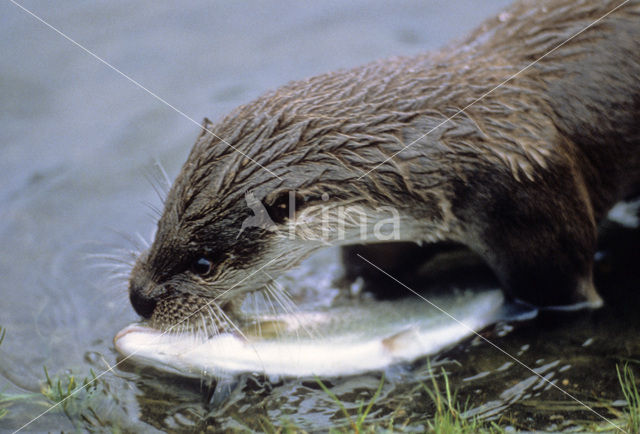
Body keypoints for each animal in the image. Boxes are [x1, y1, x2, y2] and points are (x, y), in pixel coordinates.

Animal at [127, 0, 640, 334]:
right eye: (160, 221)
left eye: (204, 263)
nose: (138, 297)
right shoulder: (387, 237)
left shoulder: (536, 208)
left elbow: (565, 296)